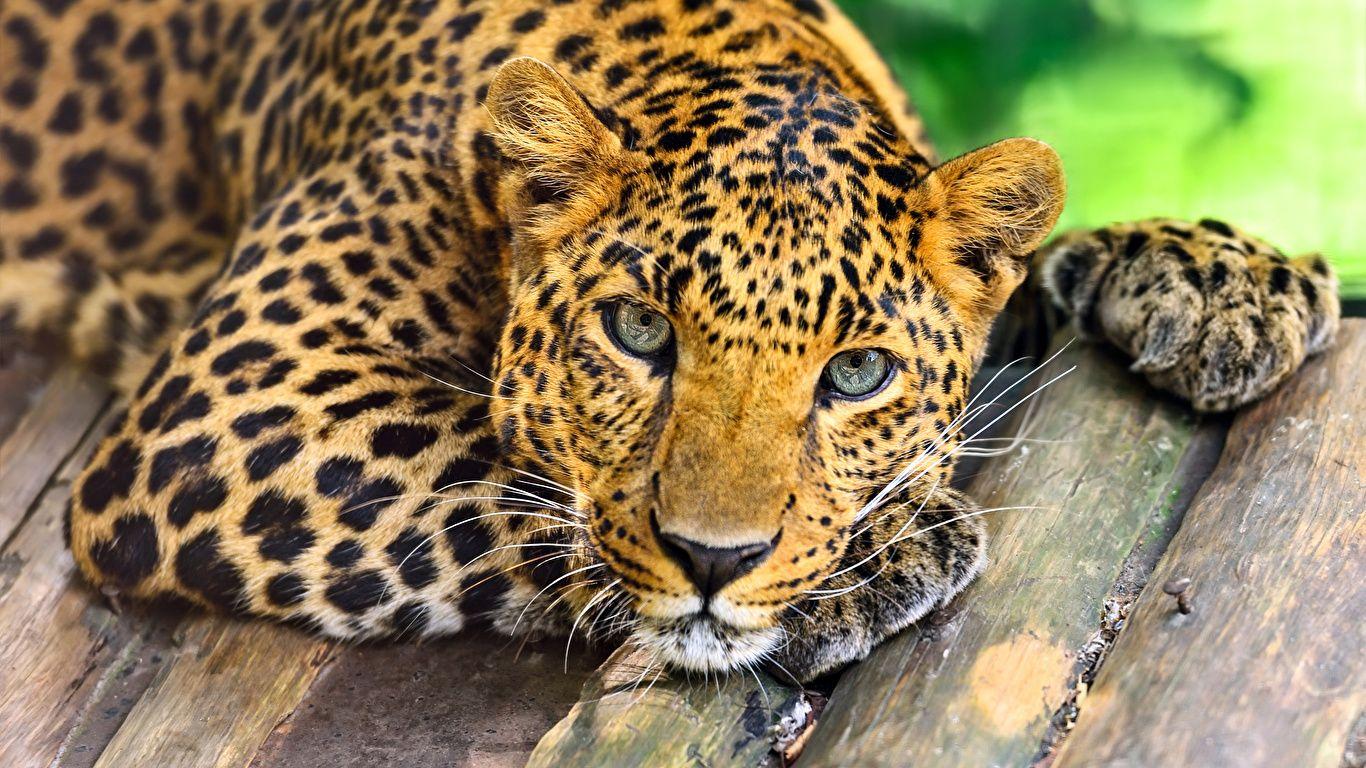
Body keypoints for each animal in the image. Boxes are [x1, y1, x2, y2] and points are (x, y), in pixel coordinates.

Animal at [0, 0, 1340, 682]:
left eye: (858, 372)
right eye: (638, 331)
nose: (712, 560)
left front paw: (1216, 275)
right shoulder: (239, 399)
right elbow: (518, 484)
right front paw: (873, 557)